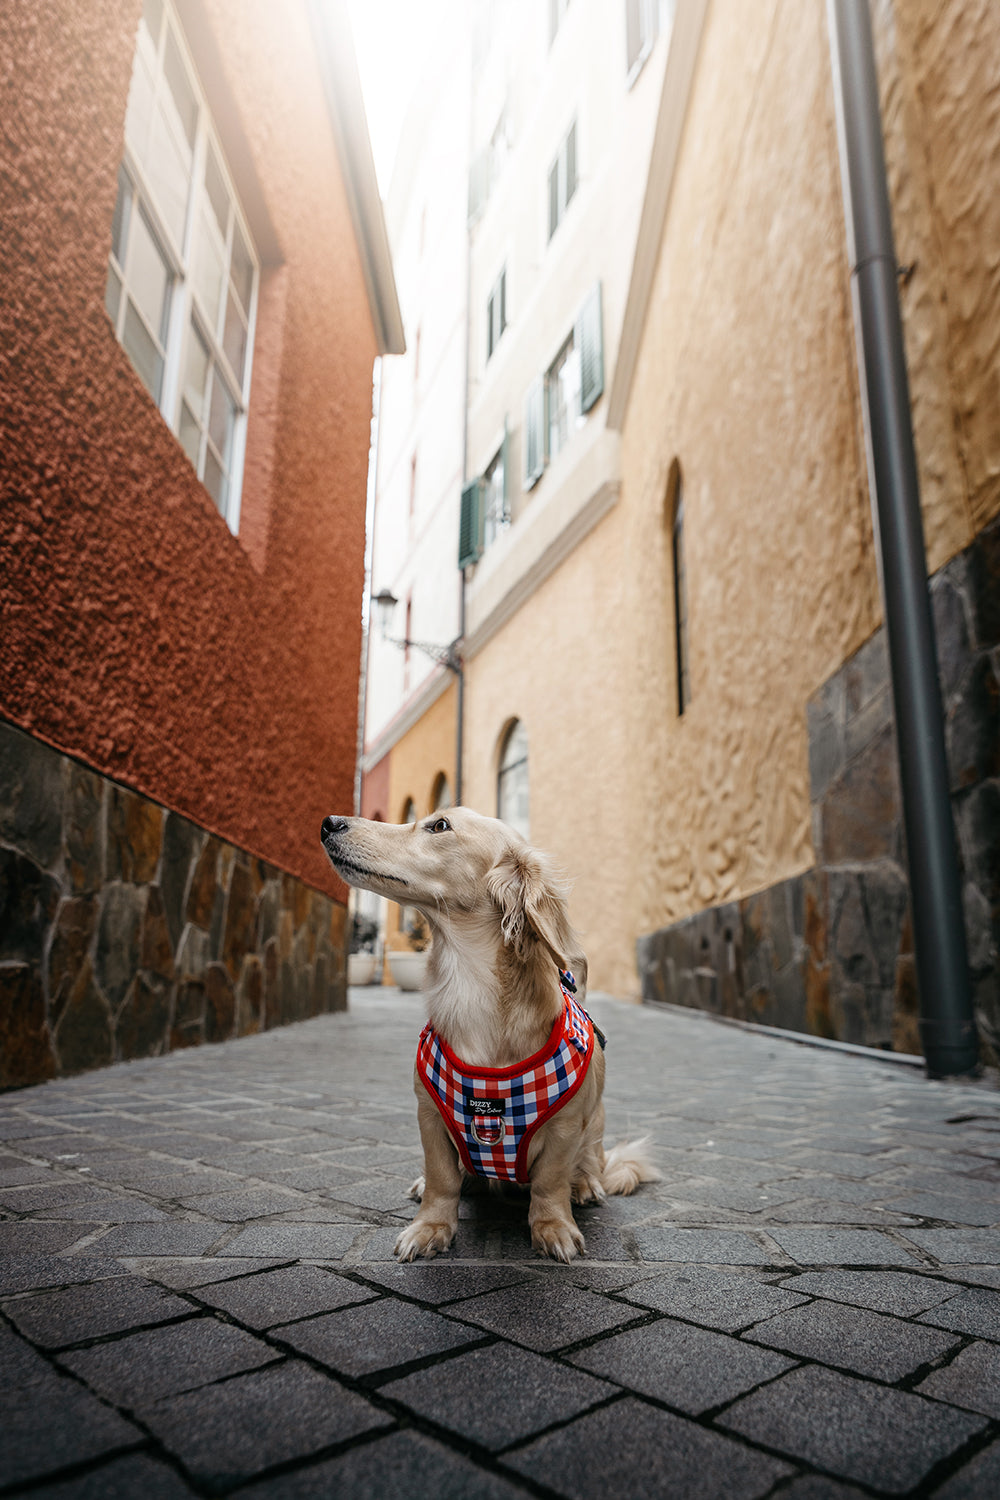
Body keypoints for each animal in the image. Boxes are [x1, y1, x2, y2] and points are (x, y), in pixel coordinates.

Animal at [320, 804, 659, 1260]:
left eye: (439, 826)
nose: (329, 823)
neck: (469, 988)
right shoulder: (430, 1116)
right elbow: (442, 1177)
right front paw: (430, 1226)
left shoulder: (566, 1129)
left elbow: (550, 1182)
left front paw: (552, 1226)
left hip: (596, 1127)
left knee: (587, 1164)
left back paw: (585, 1185)